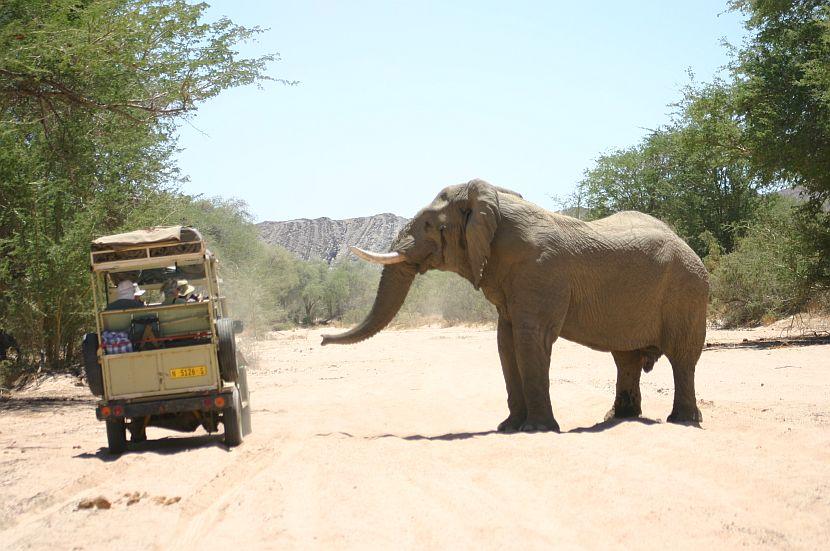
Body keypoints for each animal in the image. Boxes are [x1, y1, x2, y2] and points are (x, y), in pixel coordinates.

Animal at [318, 179, 708, 434]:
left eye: (429, 224)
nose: (321, 338)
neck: (492, 205)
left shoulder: (540, 271)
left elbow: (529, 338)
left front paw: (537, 429)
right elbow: (505, 342)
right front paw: (508, 428)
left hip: (687, 291)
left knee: (682, 358)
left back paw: (683, 421)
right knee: (625, 358)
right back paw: (618, 419)